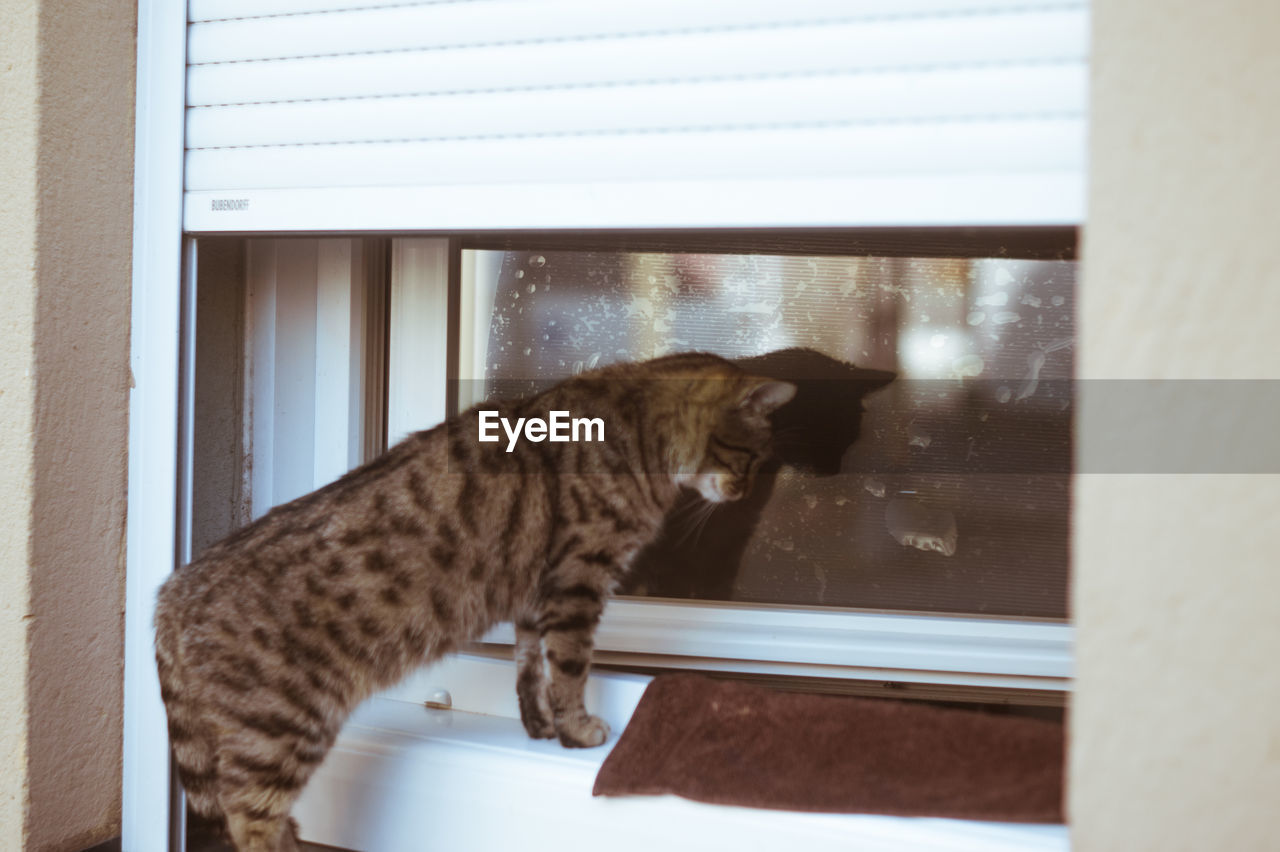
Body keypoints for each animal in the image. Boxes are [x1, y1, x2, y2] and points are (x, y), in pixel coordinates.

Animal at [149, 350, 788, 849]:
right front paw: (577, 728)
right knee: (249, 823)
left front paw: (540, 723)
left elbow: (530, 665)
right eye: (753, 459)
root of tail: (172, 592)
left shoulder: (538, 592)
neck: (637, 427)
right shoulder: (579, 579)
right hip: (278, 732)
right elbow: (570, 668)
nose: (746, 494)